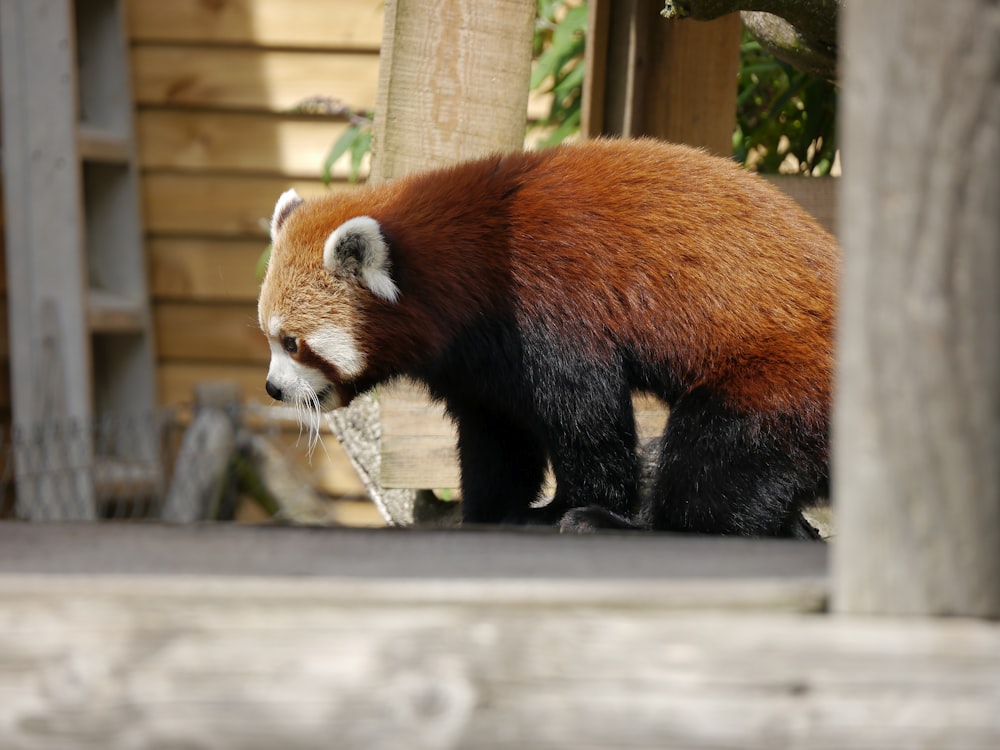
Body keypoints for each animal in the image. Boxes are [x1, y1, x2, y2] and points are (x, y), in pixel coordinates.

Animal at [258, 138, 836, 536]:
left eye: (293, 343)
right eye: (268, 336)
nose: (273, 389)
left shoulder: (550, 305)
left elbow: (587, 419)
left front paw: (568, 507)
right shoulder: (477, 362)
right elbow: (499, 435)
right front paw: (488, 510)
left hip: (777, 382)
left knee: (716, 463)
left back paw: (626, 526)